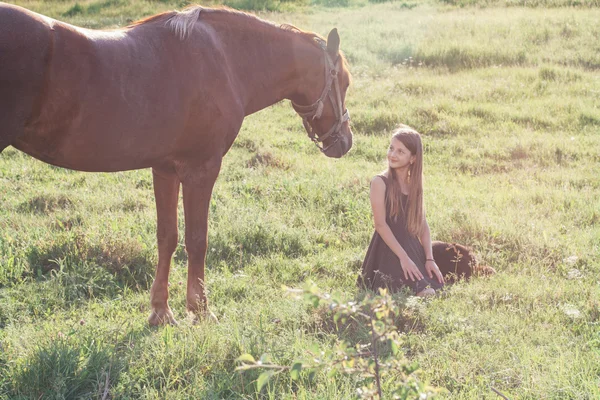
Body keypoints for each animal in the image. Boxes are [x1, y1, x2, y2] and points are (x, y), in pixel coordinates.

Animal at [0, 3, 354, 326]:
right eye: (345, 82)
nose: (345, 141)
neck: (224, 59)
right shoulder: (202, 169)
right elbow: (197, 239)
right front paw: (200, 309)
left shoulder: (165, 169)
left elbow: (167, 237)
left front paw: (160, 311)